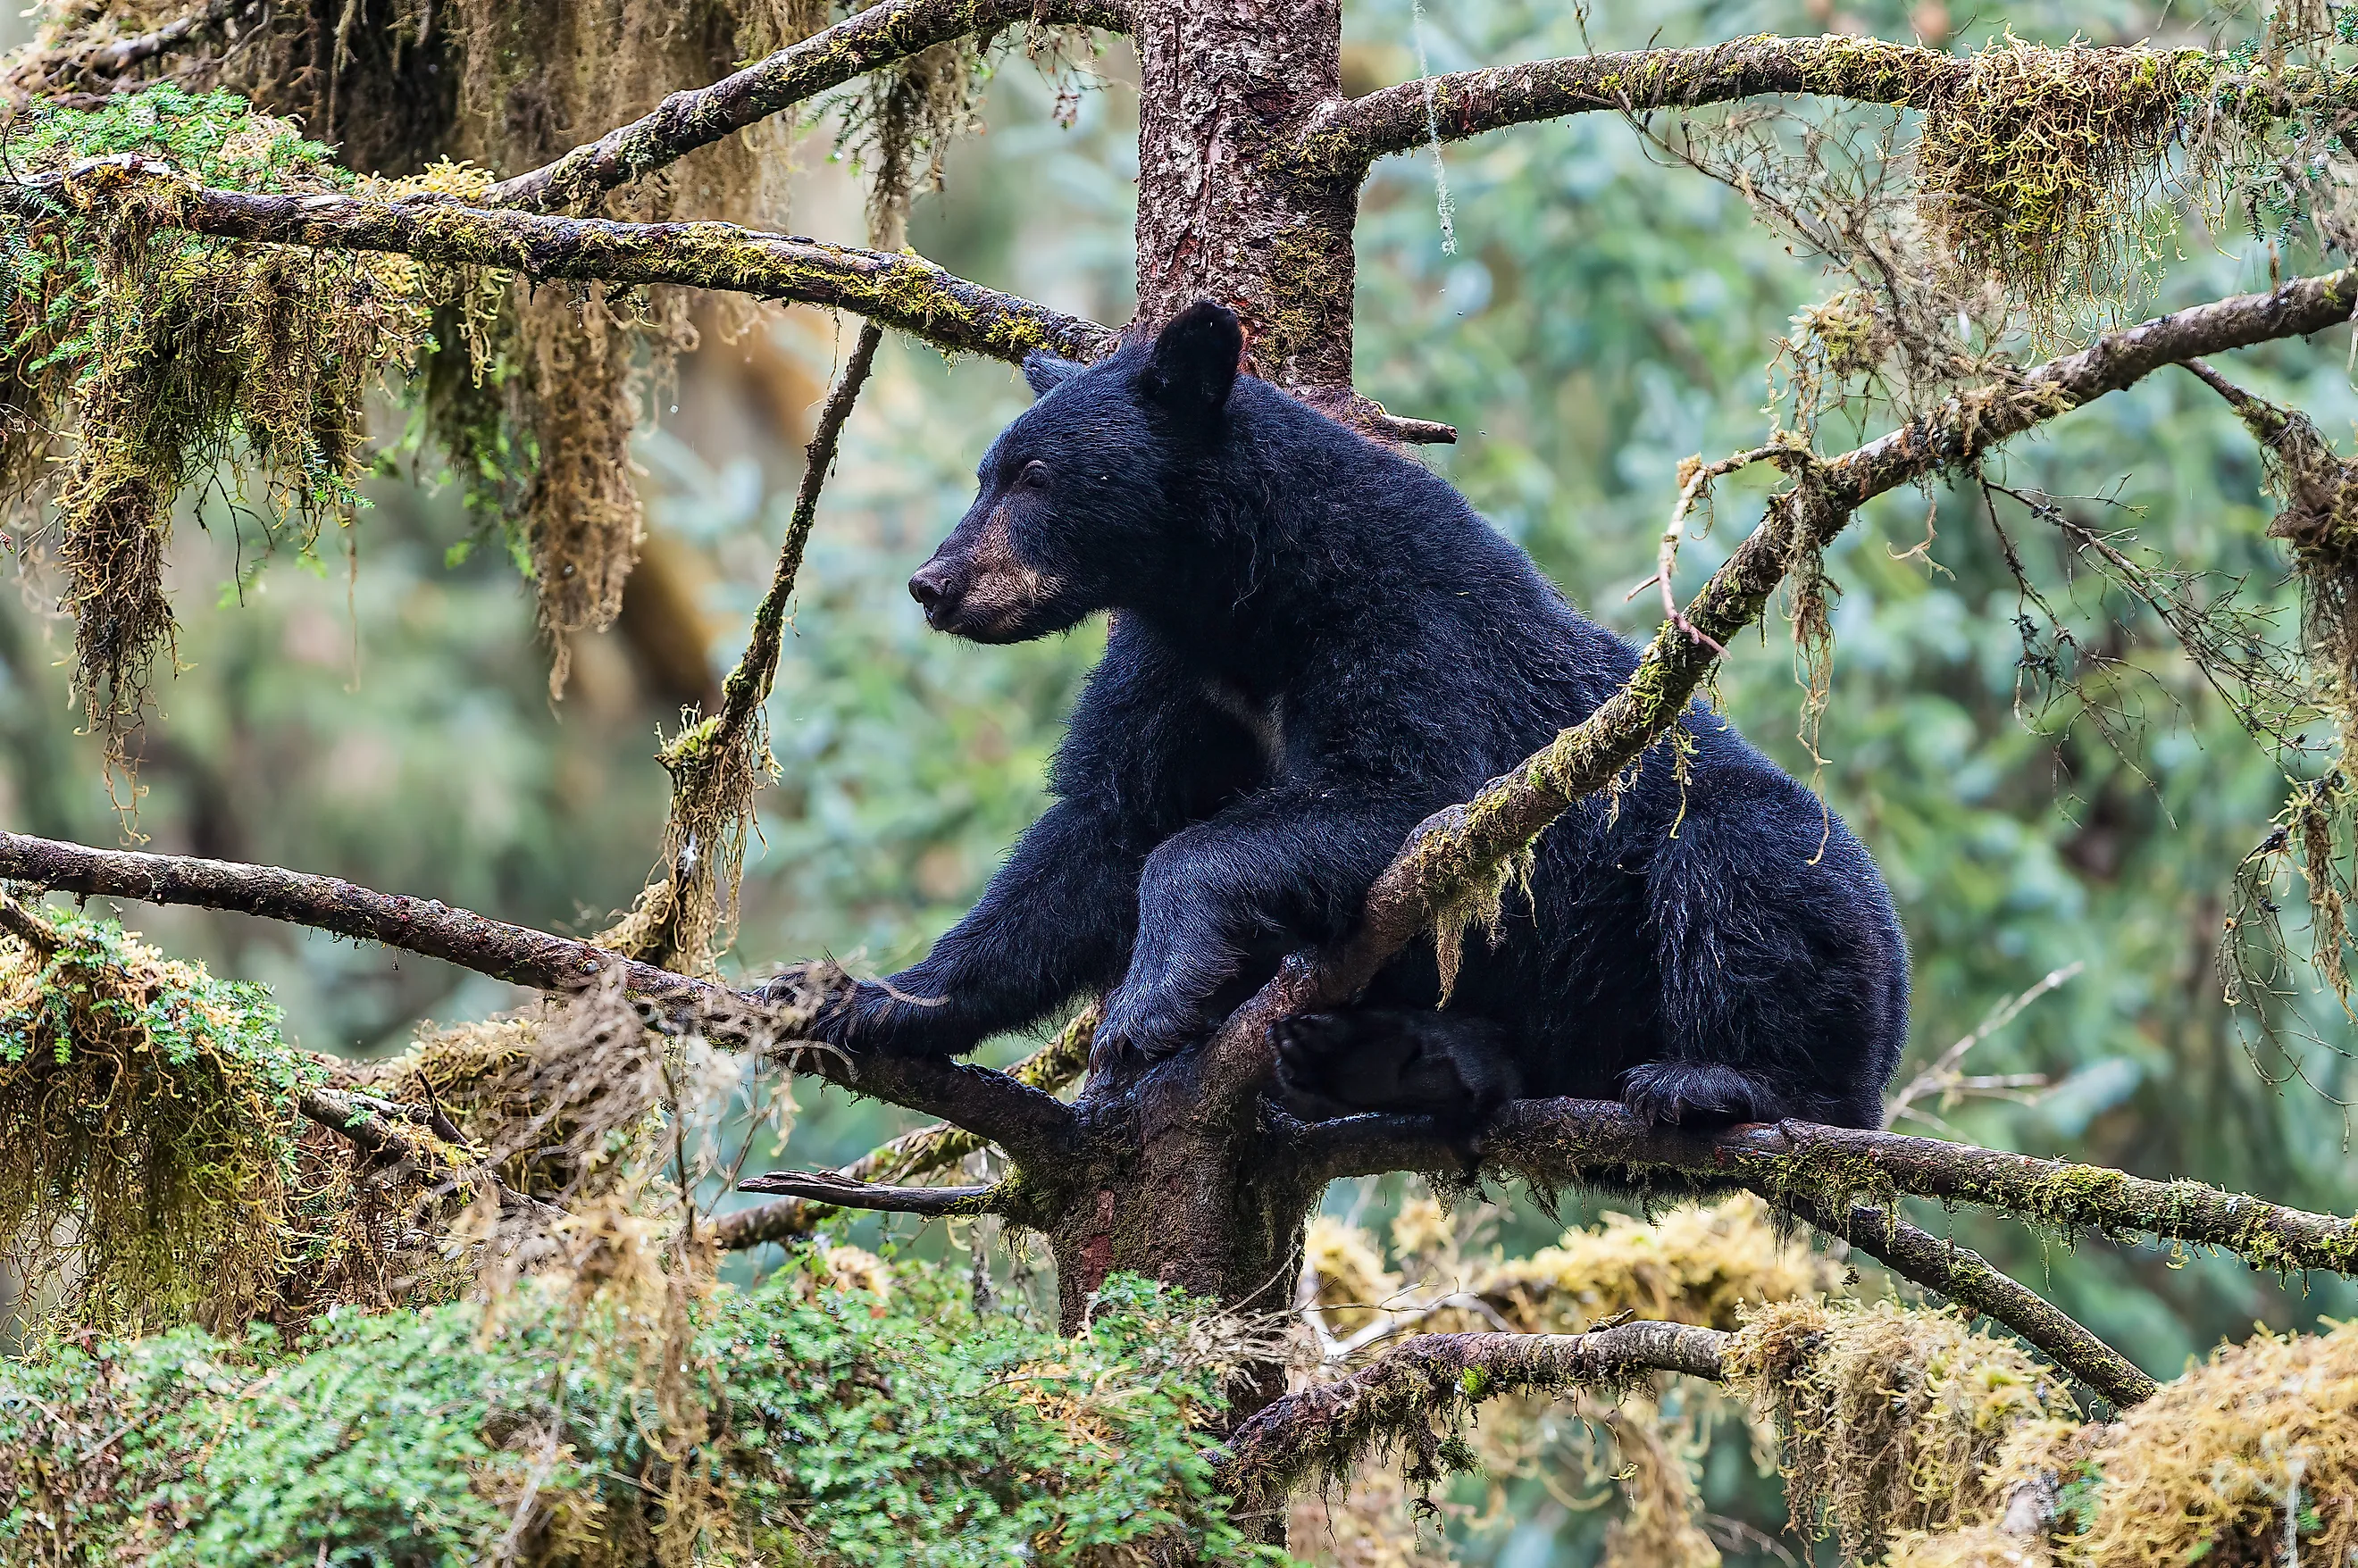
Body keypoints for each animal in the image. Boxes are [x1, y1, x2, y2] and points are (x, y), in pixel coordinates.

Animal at [775, 299, 1908, 1134]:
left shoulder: (1408, 625)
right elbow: (1096, 831)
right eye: (987, 472)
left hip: (1786, 897)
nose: (935, 584)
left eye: (1037, 476)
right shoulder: (1173, 670)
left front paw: (1146, 1009)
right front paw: (865, 995)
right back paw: (1397, 1059)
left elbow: (1407, 796)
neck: (1250, 603)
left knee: (1738, 879)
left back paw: (1716, 1080)